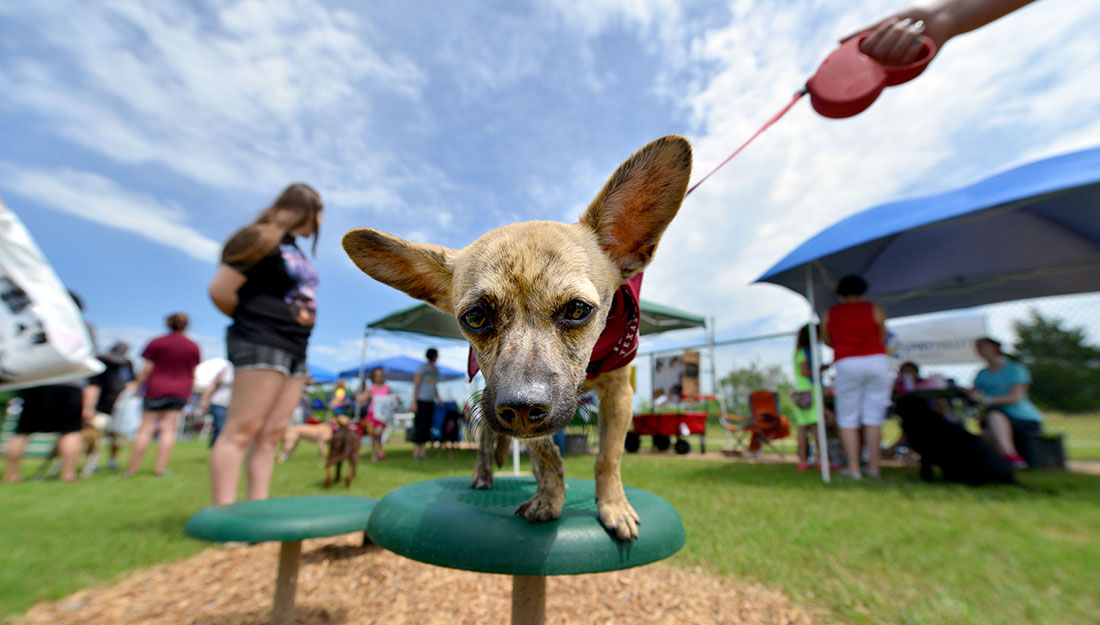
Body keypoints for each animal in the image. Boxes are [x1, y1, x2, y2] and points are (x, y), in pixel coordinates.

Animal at [338, 136, 690, 541]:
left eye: (578, 310)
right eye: (474, 318)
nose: (521, 408)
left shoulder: (619, 395)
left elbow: (608, 458)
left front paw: (613, 506)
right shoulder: (521, 416)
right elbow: (547, 455)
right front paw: (549, 499)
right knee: (486, 443)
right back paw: (483, 474)